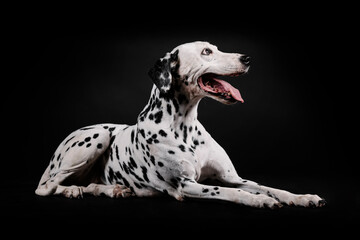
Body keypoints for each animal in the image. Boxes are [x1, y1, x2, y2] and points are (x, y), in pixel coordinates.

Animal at [35, 41, 326, 208]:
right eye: (207, 52)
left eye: (216, 47)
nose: (247, 58)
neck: (185, 126)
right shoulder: (185, 185)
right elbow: (229, 193)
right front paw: (259, 200)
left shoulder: (233, 178)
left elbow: (269, 187)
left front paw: (302, 197)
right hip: (95, 139)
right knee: (47, 187)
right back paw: (71, 191)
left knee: (88, 185)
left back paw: (113, 189)